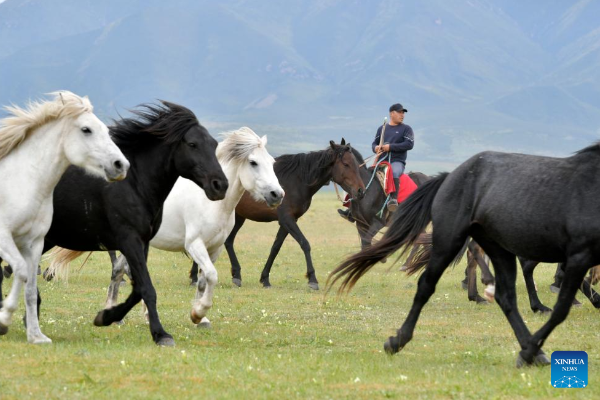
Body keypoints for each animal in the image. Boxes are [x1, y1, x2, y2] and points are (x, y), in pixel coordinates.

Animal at [0, 91, 129, 344]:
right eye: (86, 129)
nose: (120, 165)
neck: (22, 181)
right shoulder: (4, 237)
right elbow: (20, 271)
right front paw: (4, 319)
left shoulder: (34, 242)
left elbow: (29, 287)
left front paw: (36, 336)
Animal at [18, 101, 227, 346]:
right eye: (192, 144)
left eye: (214, 144)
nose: (220, 185)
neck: (133, 184)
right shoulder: (129, 240)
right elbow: (146, 288)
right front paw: (161, 334)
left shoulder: (142, 242)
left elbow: (138, 289)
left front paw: (105, 316)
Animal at [49, 127, 284, 328]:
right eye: (253, 162)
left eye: (272, 162)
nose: (277, 195)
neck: (213, 203)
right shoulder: (195, 245)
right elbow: (212, 275)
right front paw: (198, 312)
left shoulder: (214, 248)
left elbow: (203, 281)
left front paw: (200, 318)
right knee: (123, 271)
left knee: (119, 270)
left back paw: (120, 314)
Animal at [190, 139, 366, 290]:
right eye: (346, 164)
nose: (360, 191)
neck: (297, 180)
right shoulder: (287, 219)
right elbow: (305, 244)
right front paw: (312, 279)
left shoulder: (287, 221)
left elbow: (275, 247)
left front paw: (265, 279)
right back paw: (196, 277)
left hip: (239, 217)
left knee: (228, 241)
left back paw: (234, 275)